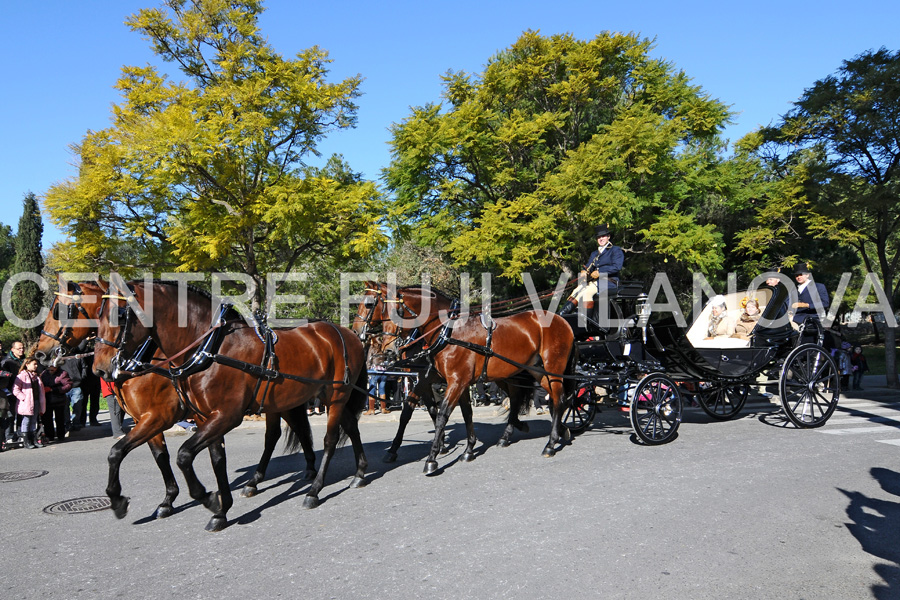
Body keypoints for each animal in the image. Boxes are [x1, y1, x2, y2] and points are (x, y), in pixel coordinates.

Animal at [34, 278, 316, 524]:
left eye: (60, 310)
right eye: (100, 313)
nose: (40, 354)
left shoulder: (158, 416)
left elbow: (126, 452)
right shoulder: (147, 419)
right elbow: (157, 456)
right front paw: (168, 500)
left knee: (283, 433)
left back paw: (299, 473)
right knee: (285, 432)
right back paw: (268, 478)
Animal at [90, 280, 370, 528]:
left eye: (120, 315)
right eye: (96, 316)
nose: (100, 369)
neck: (209, 349)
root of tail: (347, 333)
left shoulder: (212, 415)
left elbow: (182, 455)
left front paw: (208, 499)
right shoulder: (202, 417)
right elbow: (212, 459)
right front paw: (221, 510)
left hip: (336, 395)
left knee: (330, 439)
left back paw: (314, 490)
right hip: (301, 398)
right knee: (339, 428)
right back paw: (357, 473)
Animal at [354, 282, 572, 474]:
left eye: (370, 304)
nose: (388, 349)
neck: (447, 331)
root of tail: (562, 320)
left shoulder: (454, 381)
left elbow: (441, 414)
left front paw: (432, 458)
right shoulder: (450, 380)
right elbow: (461, 413)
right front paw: (467, 450)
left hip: (552, 368)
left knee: (558, 399)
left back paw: (551, 443)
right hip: (531, 370)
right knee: (533, 397)